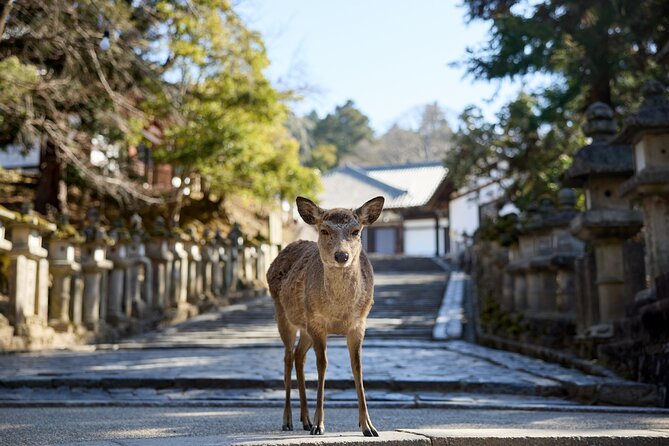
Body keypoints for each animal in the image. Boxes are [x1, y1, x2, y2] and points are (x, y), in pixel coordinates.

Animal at [264, 195, 384, 436]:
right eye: (324, 230)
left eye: (356, 230)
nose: (342, 255)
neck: (339, 310)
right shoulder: (317, 323)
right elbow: (322, 365)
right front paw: (320, 425)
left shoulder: (359, 324)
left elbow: (357, 367)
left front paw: (368, 426)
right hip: (283, 315)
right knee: (288, 358)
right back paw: (288, 420)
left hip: (305, 327)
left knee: (299, 356)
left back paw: (305, 419)